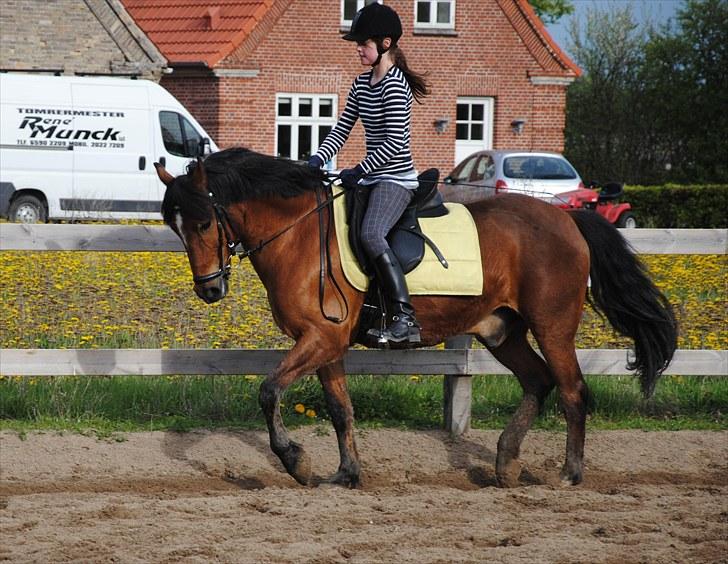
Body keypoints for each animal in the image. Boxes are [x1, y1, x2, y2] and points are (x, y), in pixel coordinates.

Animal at [154, 149, 676, 490]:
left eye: (204, 222)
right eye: (174, 227)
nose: (210, 290)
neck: (298, 234)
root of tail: (567, 220)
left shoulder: (320, 338)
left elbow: (268, 390)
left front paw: (296, 461)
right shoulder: (326, 343)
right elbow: (340, 409)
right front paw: (345, 474)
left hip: (553, 328)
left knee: (572, 391)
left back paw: (568, 474)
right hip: (501, 330)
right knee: (538, 382)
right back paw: (506, 464)